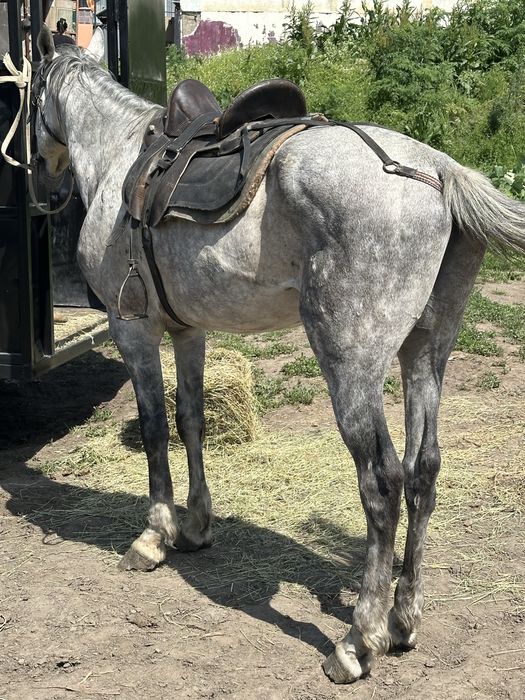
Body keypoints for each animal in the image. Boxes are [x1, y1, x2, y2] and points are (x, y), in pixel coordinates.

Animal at [34, 25, 525, 683]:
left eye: (28, 98)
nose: (42, 178)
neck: (118, 159)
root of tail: (439, 170)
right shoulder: (189, 332)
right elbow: (191, 420)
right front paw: (196, 526)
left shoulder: (131, 327)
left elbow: (154, 427)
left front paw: (153, 537)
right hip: (426, 353)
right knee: (423, 472)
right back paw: (402, 621)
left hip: (351, 364)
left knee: (383, 483)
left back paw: (358, 641)